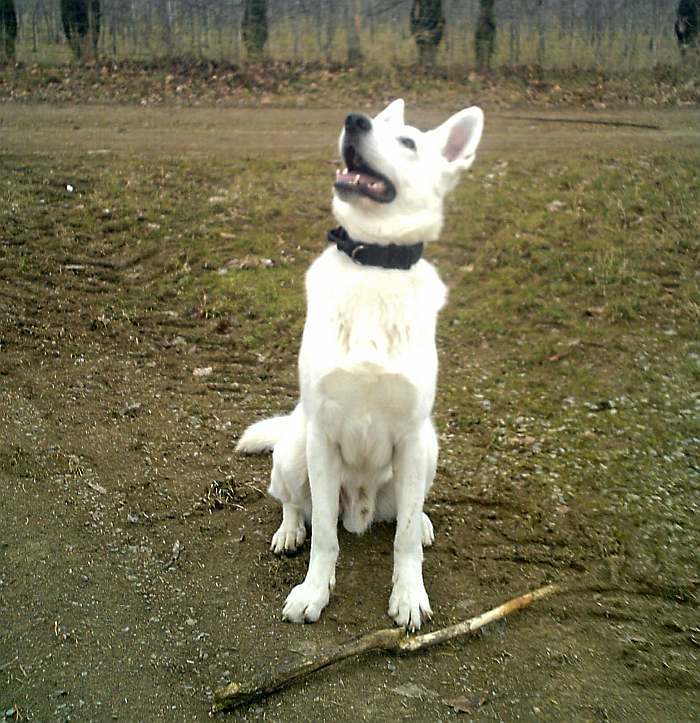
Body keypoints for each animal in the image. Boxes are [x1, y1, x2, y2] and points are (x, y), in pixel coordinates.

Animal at [238, 99, 484, 632]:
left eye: (408, 142)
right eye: (370, 120)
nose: (354, 120)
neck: (375, 266)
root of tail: (362, 511)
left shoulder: (411, 439)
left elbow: (404, 539)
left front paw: (409, 595)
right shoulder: (323, 436)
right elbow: (326, 539)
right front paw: (313, 592)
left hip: (429, 447)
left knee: (405, 514)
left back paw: (423, 521)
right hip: (295, 447)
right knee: (292, 502)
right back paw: (290, 531)